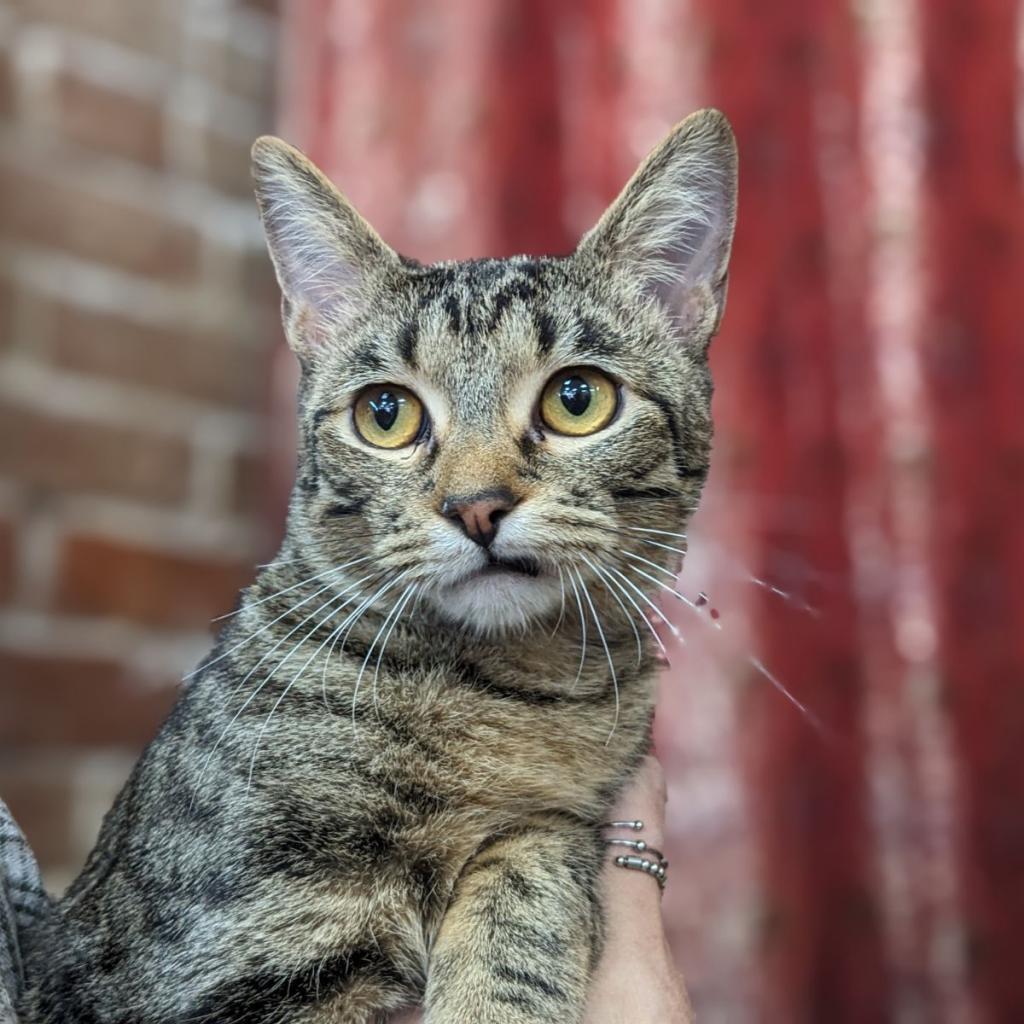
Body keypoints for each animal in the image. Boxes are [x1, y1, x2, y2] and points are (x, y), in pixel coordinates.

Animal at [18, 108, 737, 1019]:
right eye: (385, 414)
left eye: (578, 399)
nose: (477, 505)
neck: (501, 694)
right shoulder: (243, 953)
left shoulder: (564, 815)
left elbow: (531, 873)